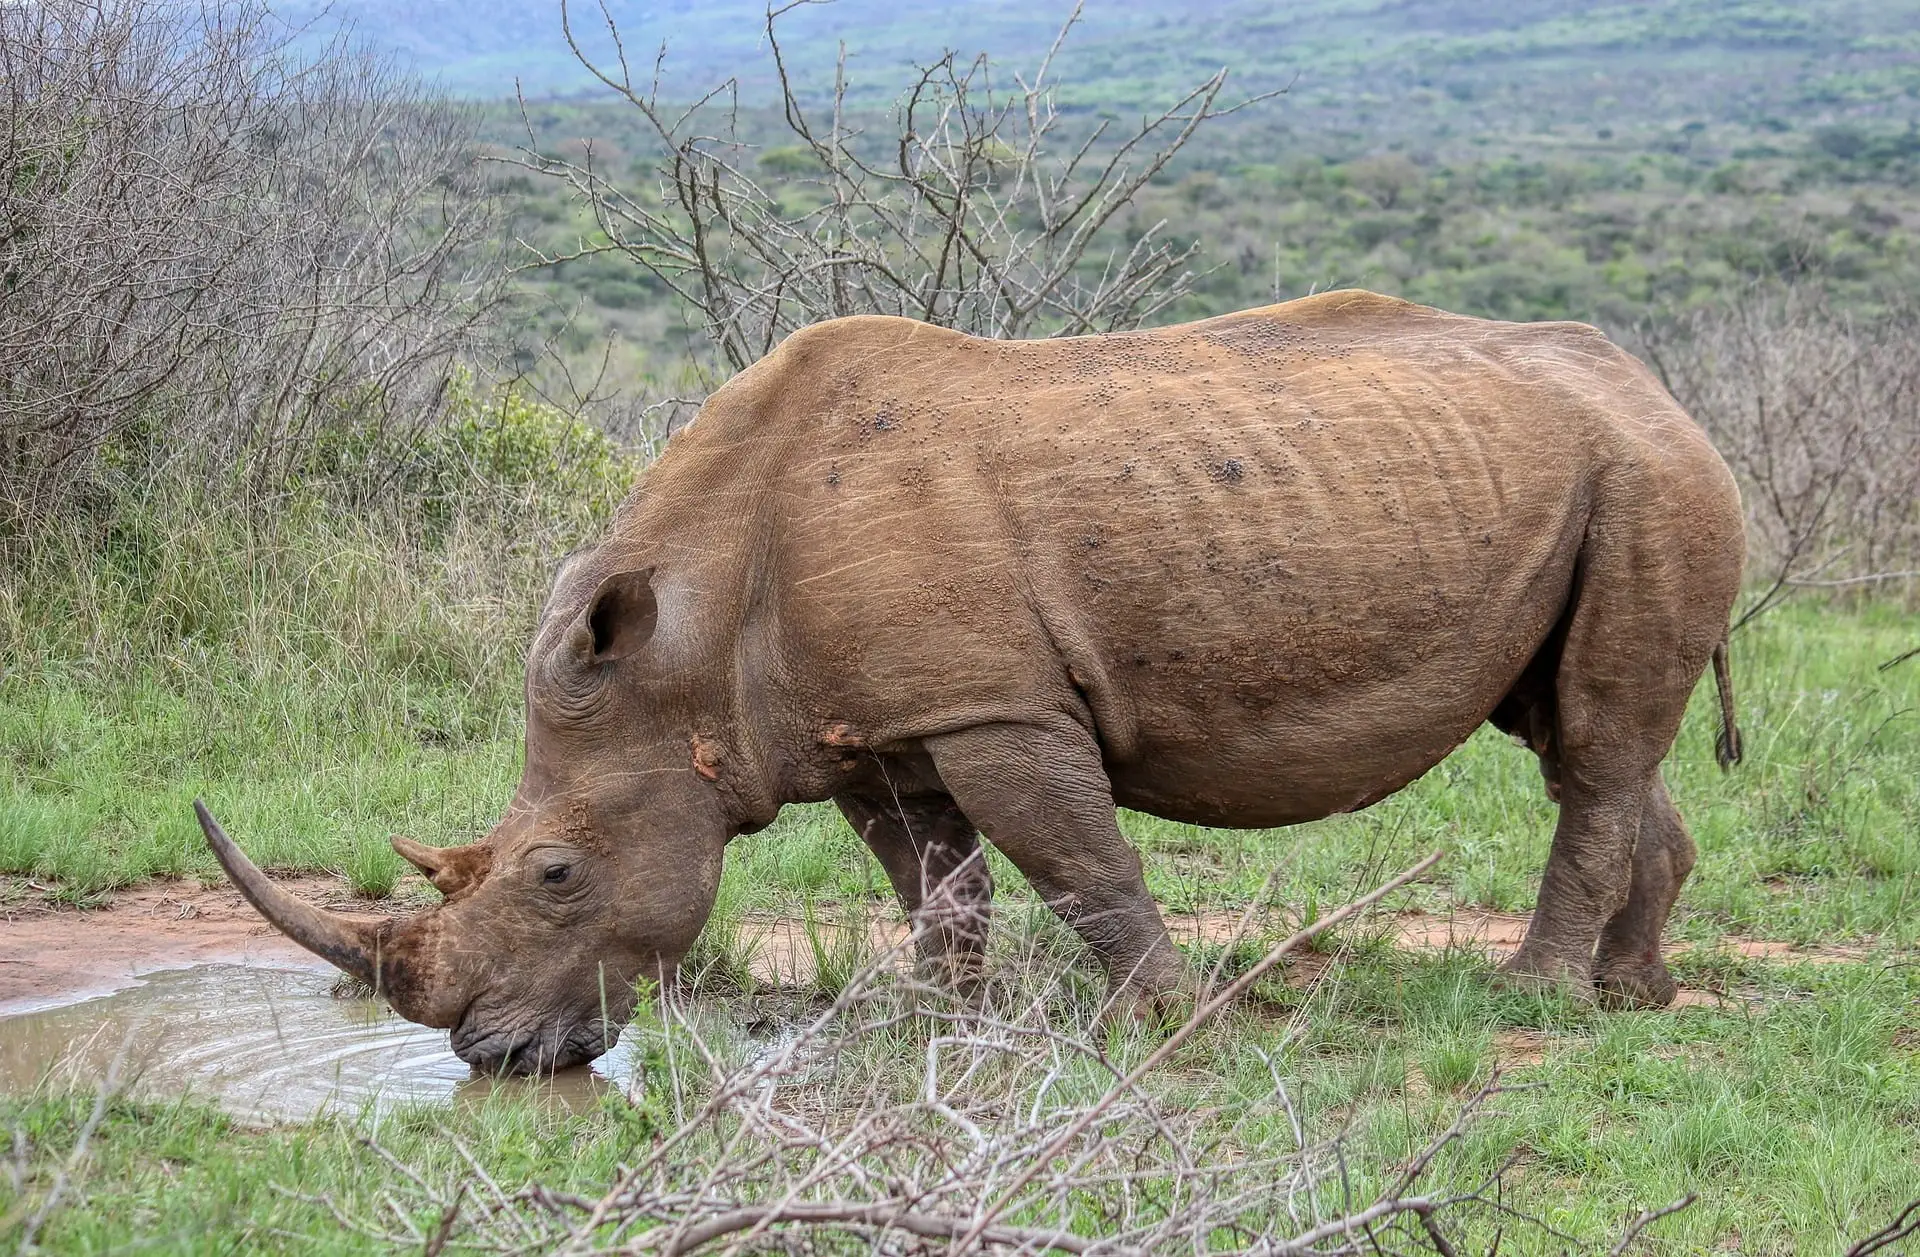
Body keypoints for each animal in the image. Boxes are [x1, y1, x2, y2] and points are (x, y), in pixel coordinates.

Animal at [196, 290, 1745, 1073]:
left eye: (557, 876)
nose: (497, 1059)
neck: (685, 650)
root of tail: (1662, 386)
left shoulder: (992, 706)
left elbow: (1079, 862)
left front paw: (1160, 1028)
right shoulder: (871, 728)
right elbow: (934, 884)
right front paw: (940, 1027)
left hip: (1650, 475)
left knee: (1594, 741)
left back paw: (1533, 1000)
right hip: (1597, 474)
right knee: (1578, 733)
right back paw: (1632, 995)